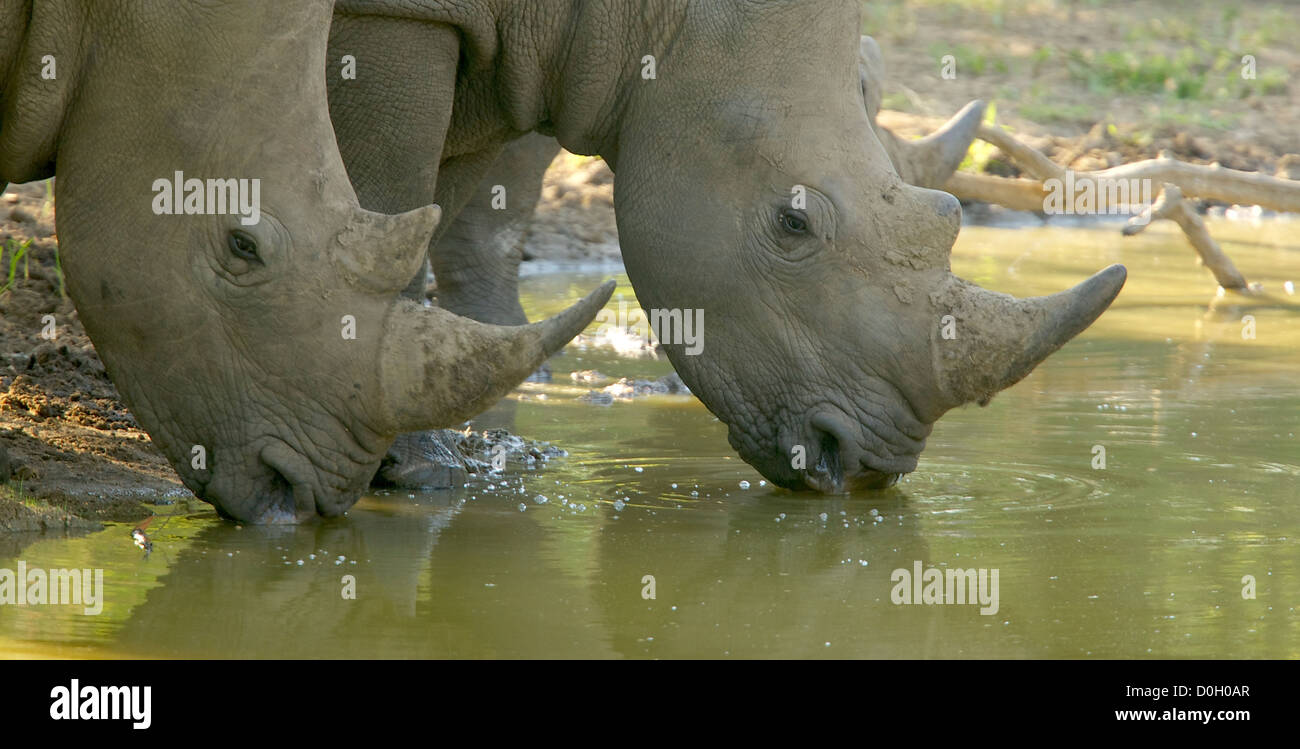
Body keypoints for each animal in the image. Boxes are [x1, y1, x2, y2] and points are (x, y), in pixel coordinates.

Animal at [328, 0, 1126, 495]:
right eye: (792, 223)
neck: (649, 16)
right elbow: (391, 191)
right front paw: (419, 470)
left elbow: (440, 198)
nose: (864, 469)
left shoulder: (524, 49)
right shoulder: (401, 14)